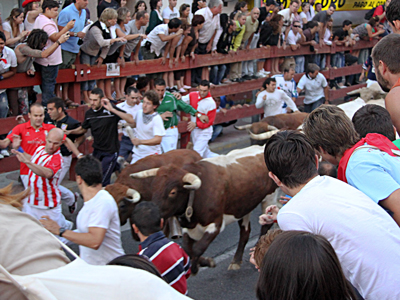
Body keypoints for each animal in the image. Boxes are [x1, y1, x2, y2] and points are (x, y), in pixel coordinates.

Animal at [130, 145, 276, 274]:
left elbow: (198, 248)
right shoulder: (188, 227)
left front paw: (197, 266)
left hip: (269, 198)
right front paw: (204, 262)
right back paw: (236, 261)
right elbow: (188, 249)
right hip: (243, 207)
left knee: (265, 226)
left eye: (173, 192)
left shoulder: (215, 224)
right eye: (153, 187)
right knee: (245, 232)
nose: (151, 210)